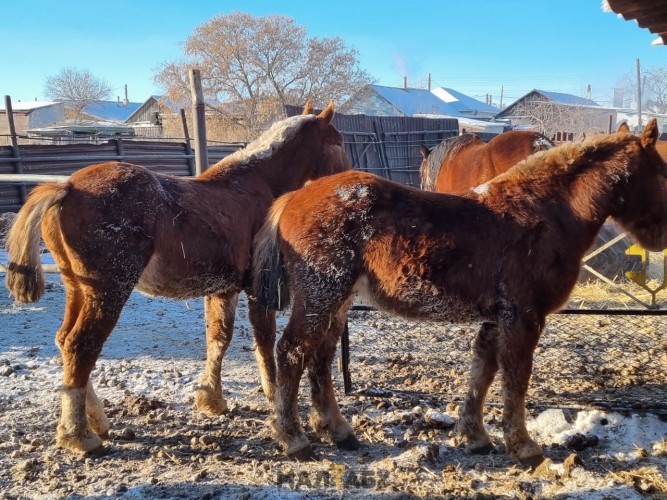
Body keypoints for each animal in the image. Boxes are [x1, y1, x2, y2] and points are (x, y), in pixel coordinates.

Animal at [5, 99, 352, 456]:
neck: (257, 184)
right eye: (338, 141)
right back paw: (79, 435)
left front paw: (211, 400)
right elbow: (264, 341)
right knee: (81, 345)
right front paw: (272, 395)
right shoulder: (258, 289)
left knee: (65, 341)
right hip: (107, 291)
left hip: (77, 288)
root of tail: (68, 186)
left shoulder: (223, 290)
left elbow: (218, 338)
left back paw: (97, 420)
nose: (347, 178)